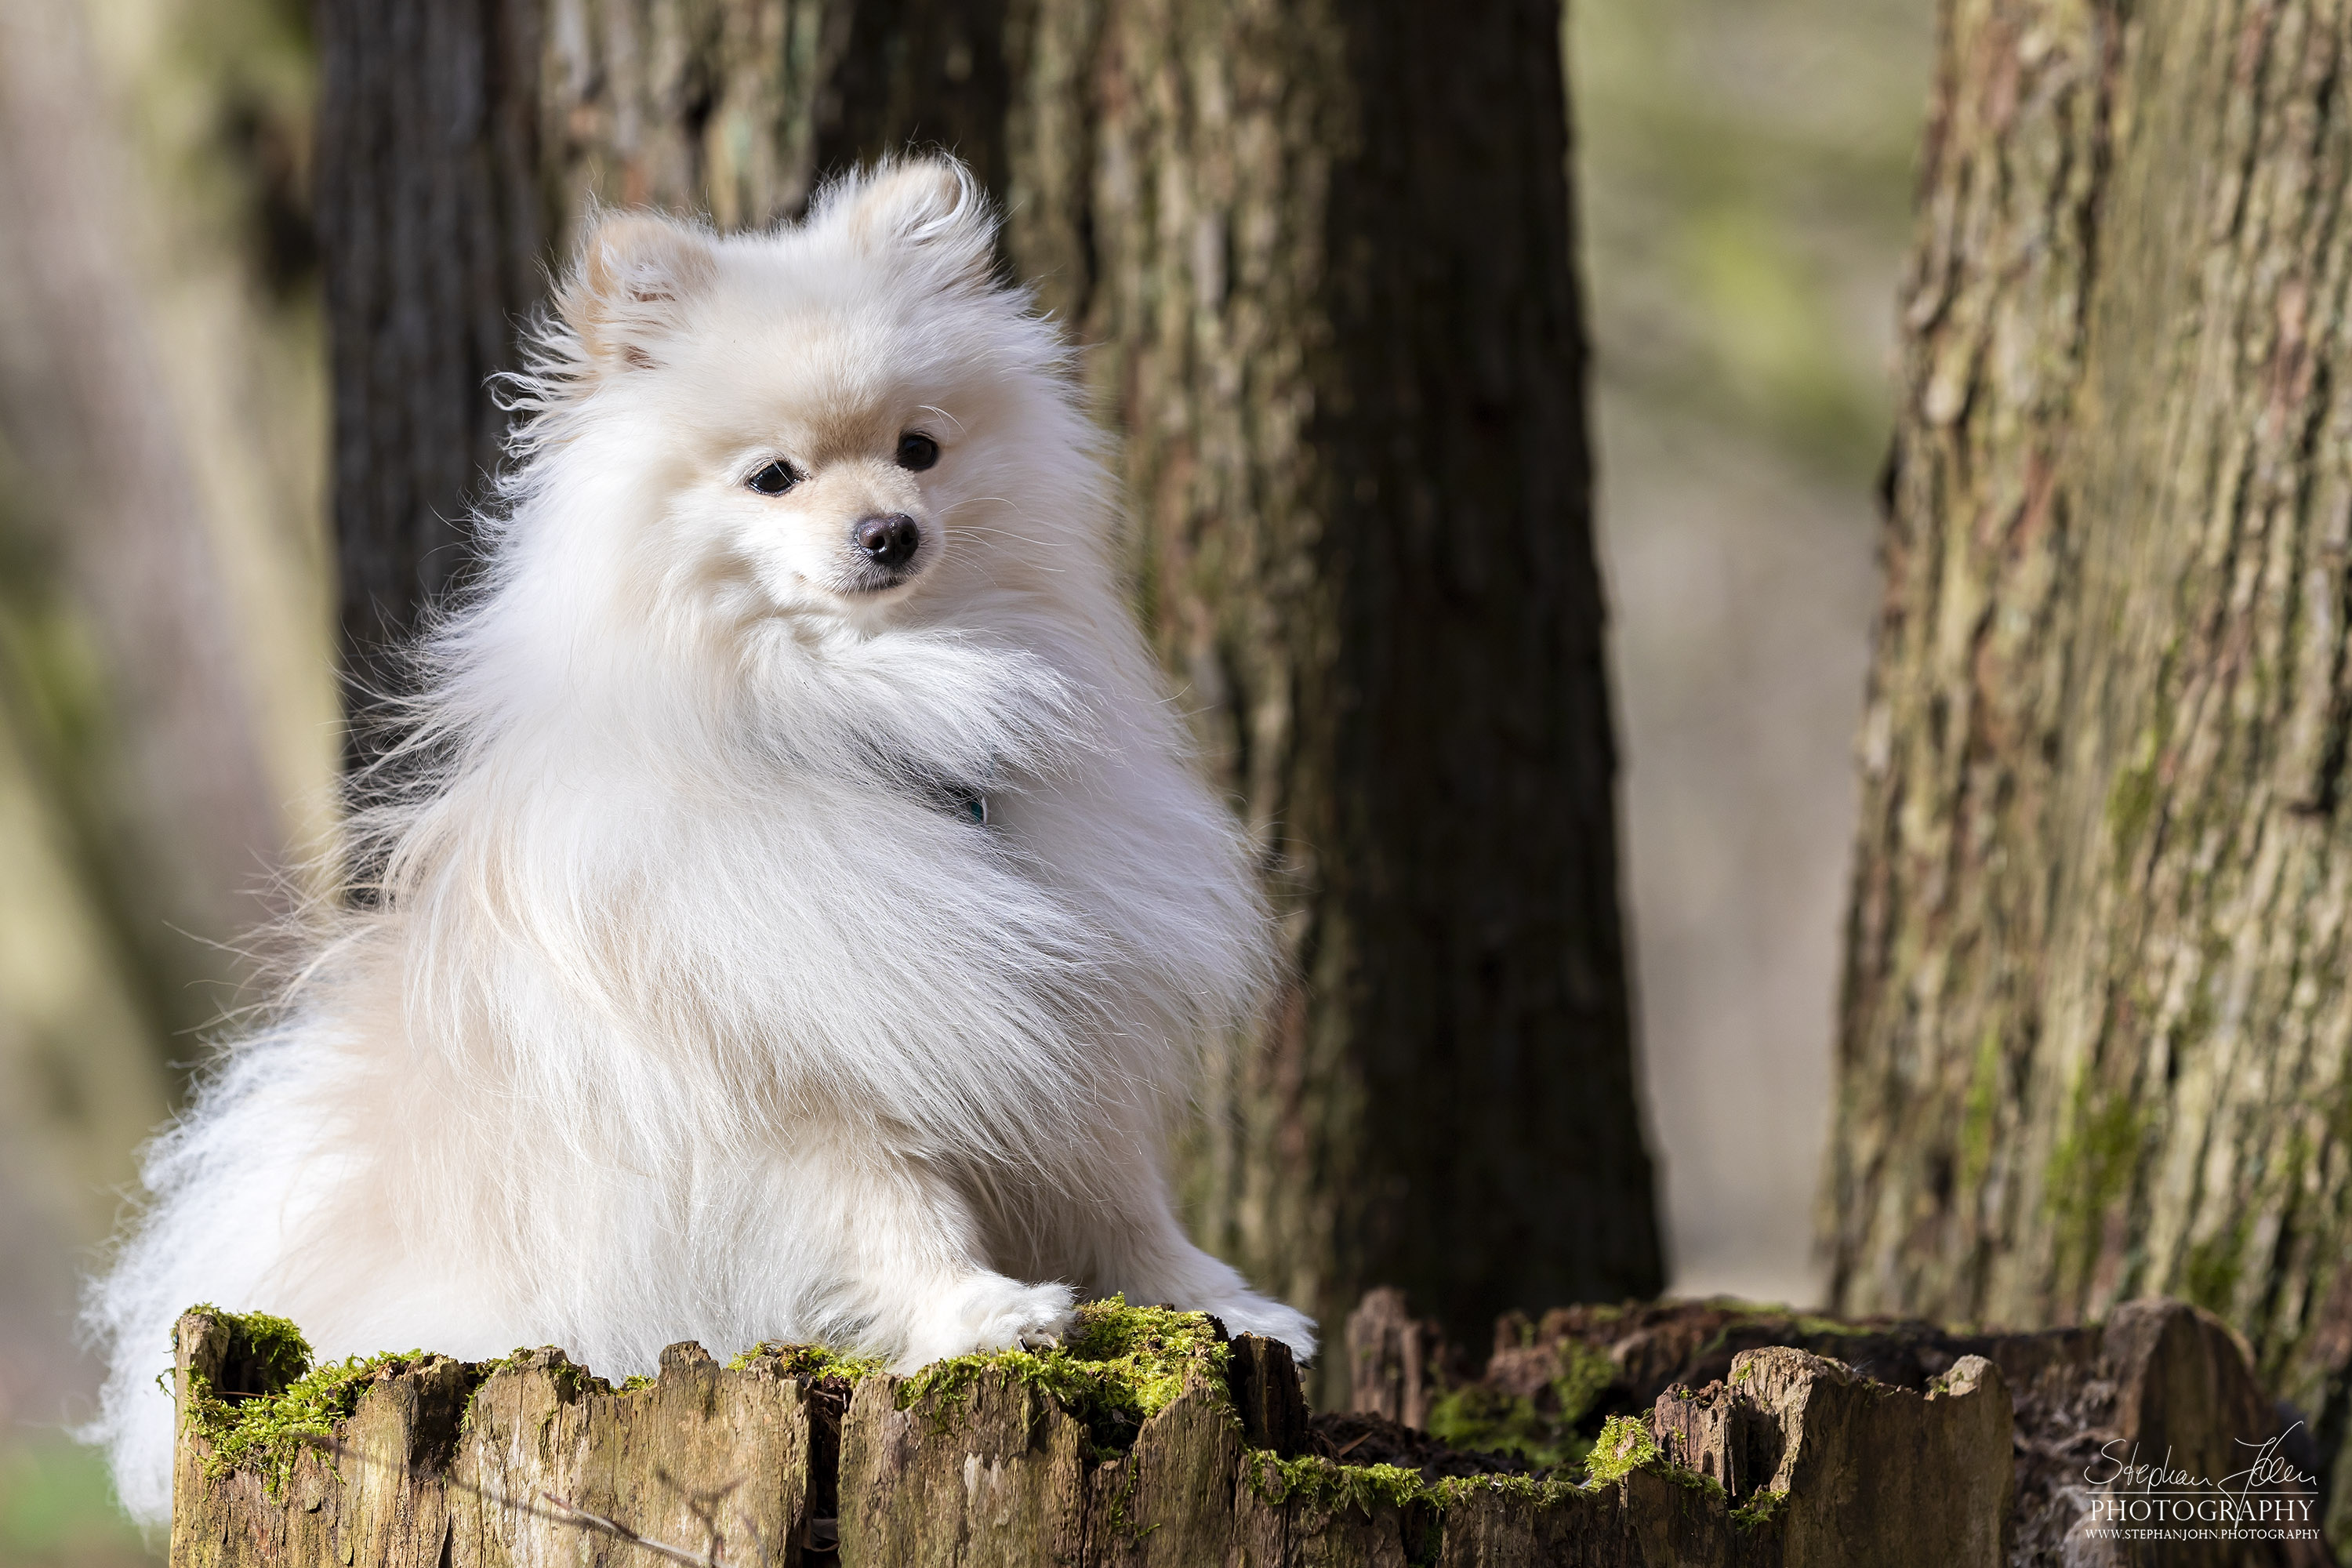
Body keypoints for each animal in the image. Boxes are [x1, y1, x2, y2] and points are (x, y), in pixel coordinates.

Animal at [92, 156, 1317, 1523]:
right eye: (773, 476)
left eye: (920, 449)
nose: (891, 529)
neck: (873, 714)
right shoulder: (792, 1067)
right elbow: (893, 1206)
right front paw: (982, 1314)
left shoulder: (1061, 1025)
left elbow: (1120, 1194)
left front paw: (1223, 1301)